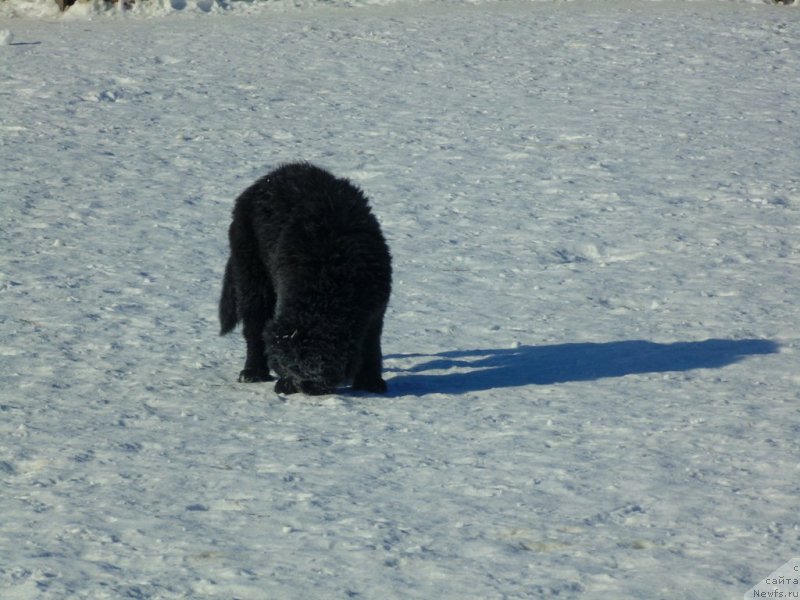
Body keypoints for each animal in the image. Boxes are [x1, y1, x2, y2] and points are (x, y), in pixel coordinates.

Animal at [219, 164, 394, 396]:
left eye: (317, 366)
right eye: (288, 366)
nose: (301, 387)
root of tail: (260, 183)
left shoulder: (375, 308)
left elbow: (371, 345)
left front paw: (371, 382)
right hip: (252, 274)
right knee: (254, 324)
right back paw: (252, 372)